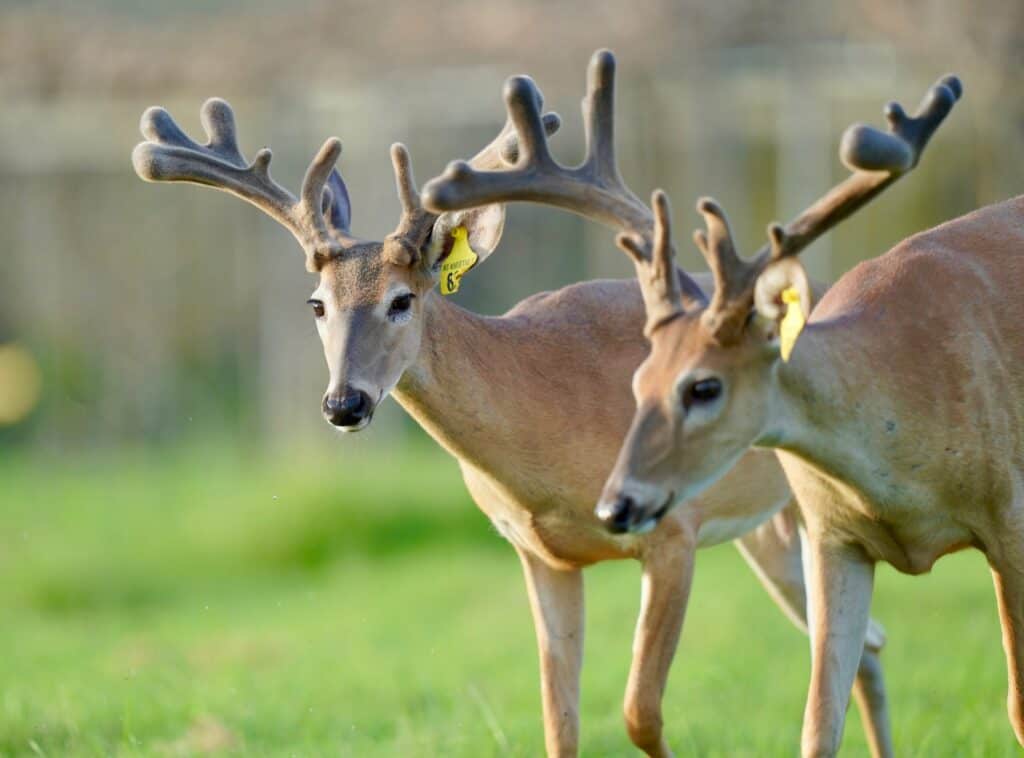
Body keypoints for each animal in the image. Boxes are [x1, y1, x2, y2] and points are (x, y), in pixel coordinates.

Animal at [131, 51, 896, 757]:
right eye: (317, 304)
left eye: (402, 300)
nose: (344, 403)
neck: (548, 415)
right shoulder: (539, 553)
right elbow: (559, 721)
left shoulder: (673, 530)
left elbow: (640, 712)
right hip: (773, 529)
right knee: (866, 646)